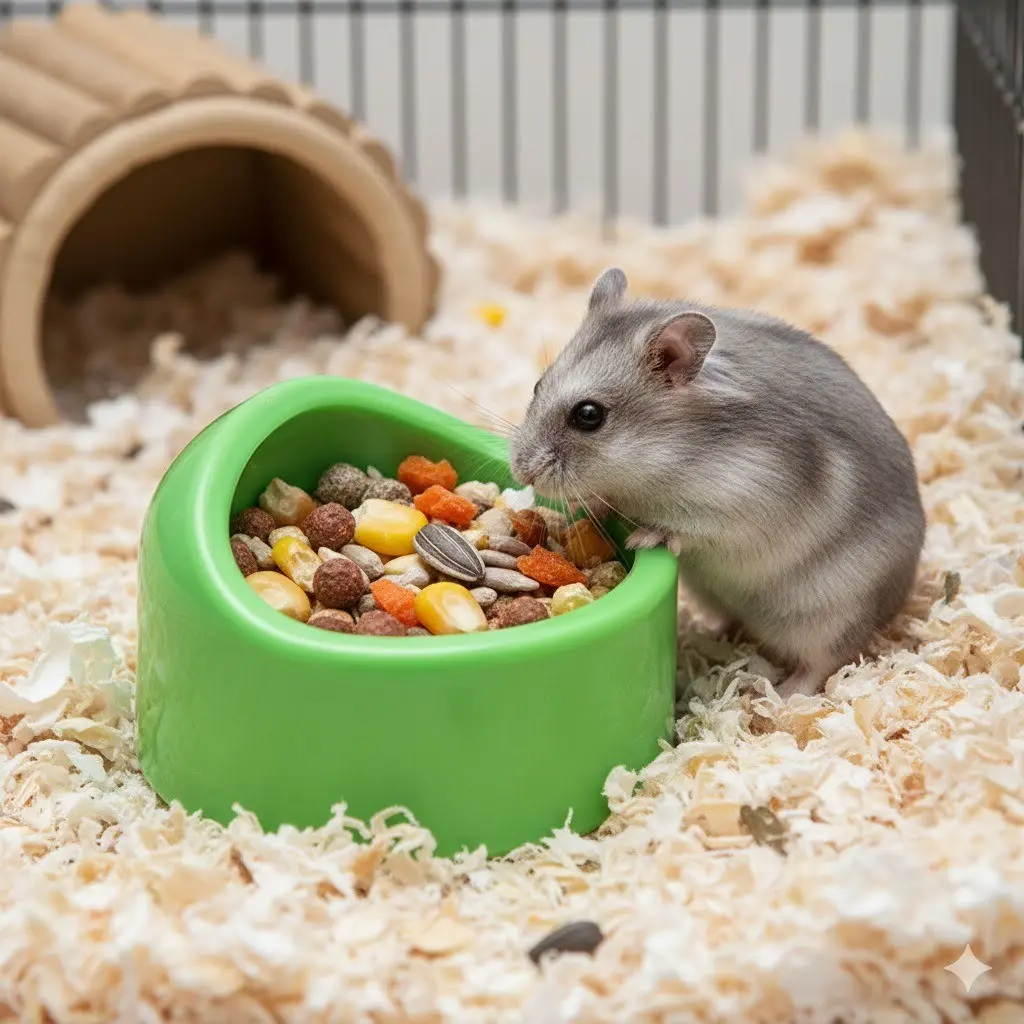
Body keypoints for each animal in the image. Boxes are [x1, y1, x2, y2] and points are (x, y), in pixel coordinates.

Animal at [508, 268, 926, 699]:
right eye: (538, 385)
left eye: (589, 415)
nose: (520, 470)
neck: (675, 453)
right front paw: (588, 506)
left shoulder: (743, 504)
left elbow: (689, 527)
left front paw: (643, 537)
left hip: (828, 617)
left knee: (823, 663)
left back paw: (779, 695)